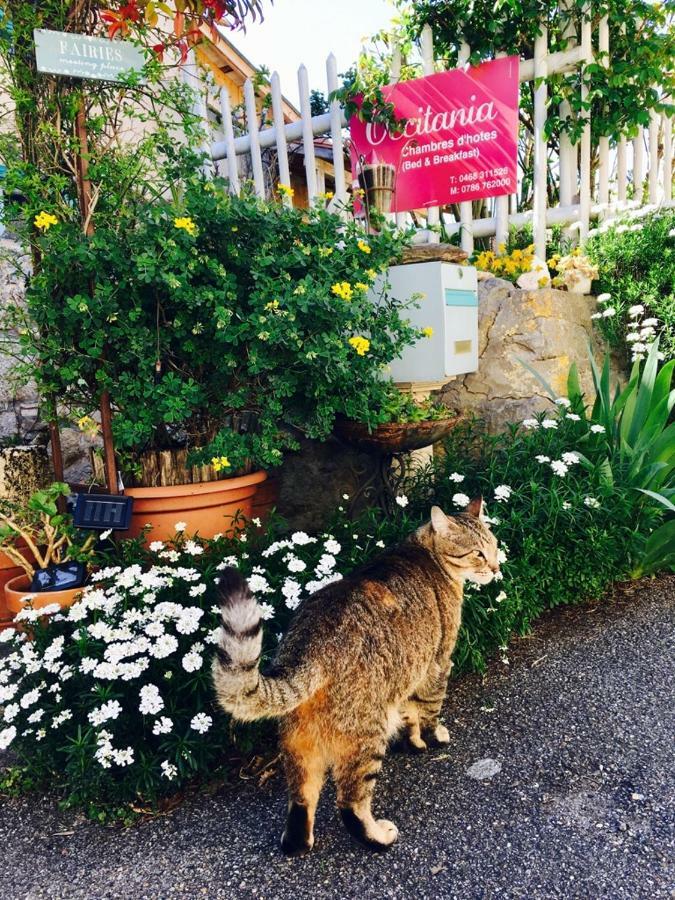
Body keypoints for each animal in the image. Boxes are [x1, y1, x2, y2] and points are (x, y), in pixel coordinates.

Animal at [214, 502, 500, 856]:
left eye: (495, 546)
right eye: (478, 553)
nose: (497, 568)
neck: (424, 552)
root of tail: (309, 648)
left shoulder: (405, 676)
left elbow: (409, 714)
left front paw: (413, 741)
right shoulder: (437, 665)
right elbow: (429, 713)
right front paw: (433, 738)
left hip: (299, 744)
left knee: (301, 800)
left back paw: (297, 842)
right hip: (366, 737)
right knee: (350, 804)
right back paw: (378, 837)